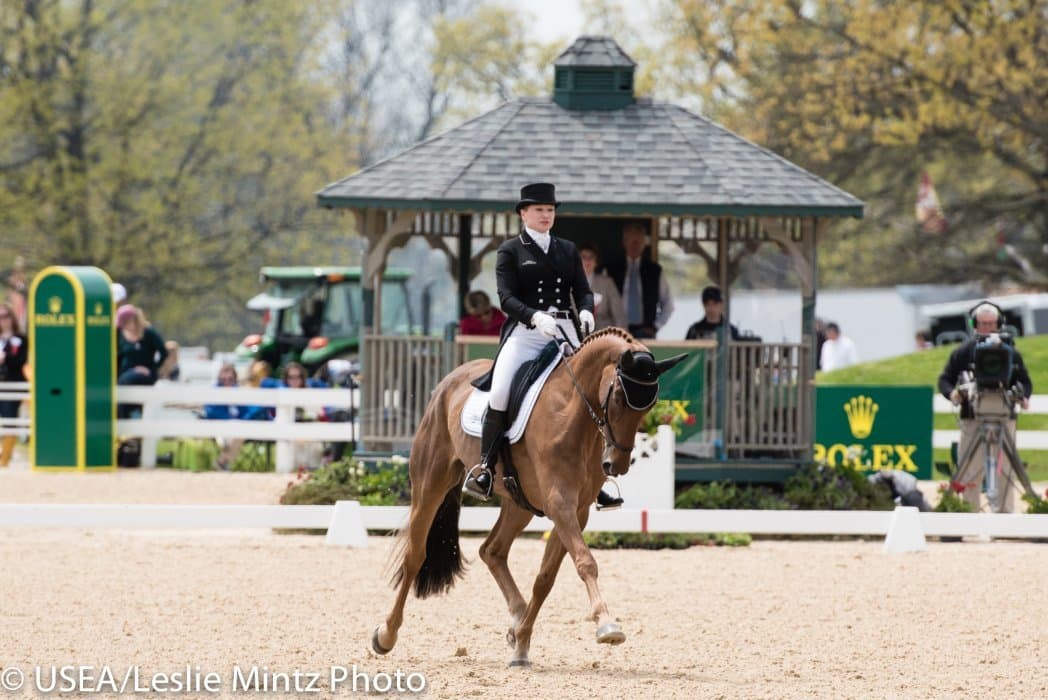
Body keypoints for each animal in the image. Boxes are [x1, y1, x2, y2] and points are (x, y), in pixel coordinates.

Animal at [371, 327, 686, 667]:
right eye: (616, 397)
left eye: (650, 406)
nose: (616, 465)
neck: (572, 412)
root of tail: (450, 379)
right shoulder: (559, 503)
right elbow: (585, 562)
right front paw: (607, 625)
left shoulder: (576, 510)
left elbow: (545, 578)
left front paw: (522, 643)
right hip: (431, 482)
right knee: (415, 555)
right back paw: (386, 635)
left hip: (518, 502)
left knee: (491, 550)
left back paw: (517, 619)